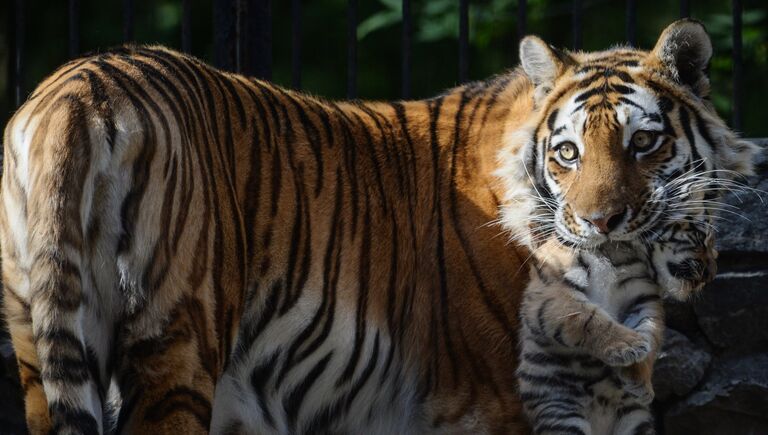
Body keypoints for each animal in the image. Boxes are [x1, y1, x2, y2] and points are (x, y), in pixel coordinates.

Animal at [0, 17, 756, 435]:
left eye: (642, 143)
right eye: (567, 152)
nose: (600, 223)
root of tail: (82, 85)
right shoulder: (499, 402)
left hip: (39, 344)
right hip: (177, 351)